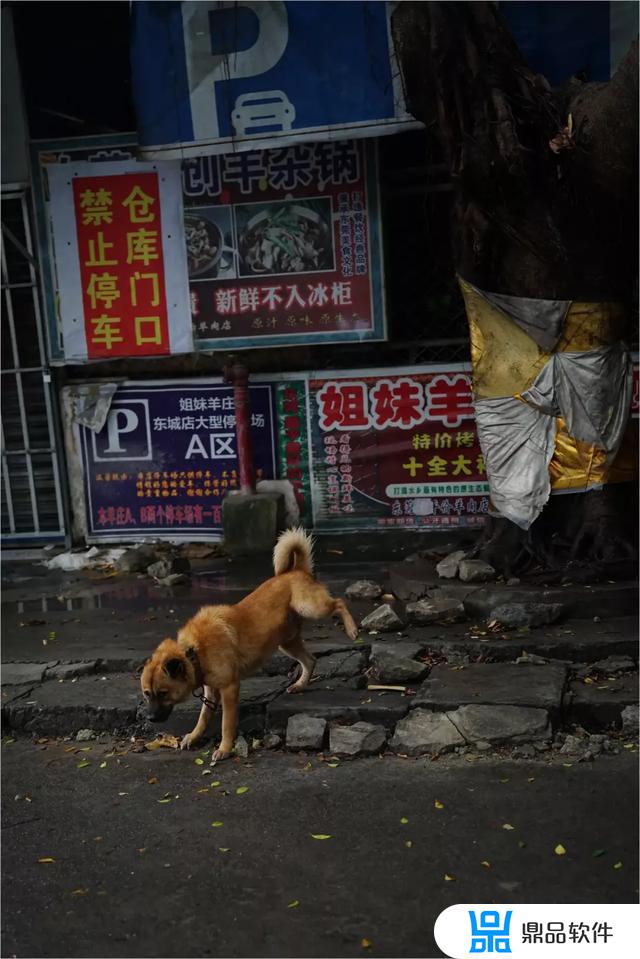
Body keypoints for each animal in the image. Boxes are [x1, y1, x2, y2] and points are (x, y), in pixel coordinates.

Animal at [140, 528, 358, 760]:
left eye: (163, 693)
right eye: (147, 694)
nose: (150, 719)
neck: (193, 651)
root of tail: (296, 570)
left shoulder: (229, 689)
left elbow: (227, 724)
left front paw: (224, 749)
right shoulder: (210, 692)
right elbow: (203, 717)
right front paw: (194, 736)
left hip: (311, 607)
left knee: (339, 603)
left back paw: (352, 629)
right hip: (286, 642)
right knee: (310, 660)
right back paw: (300, 684)